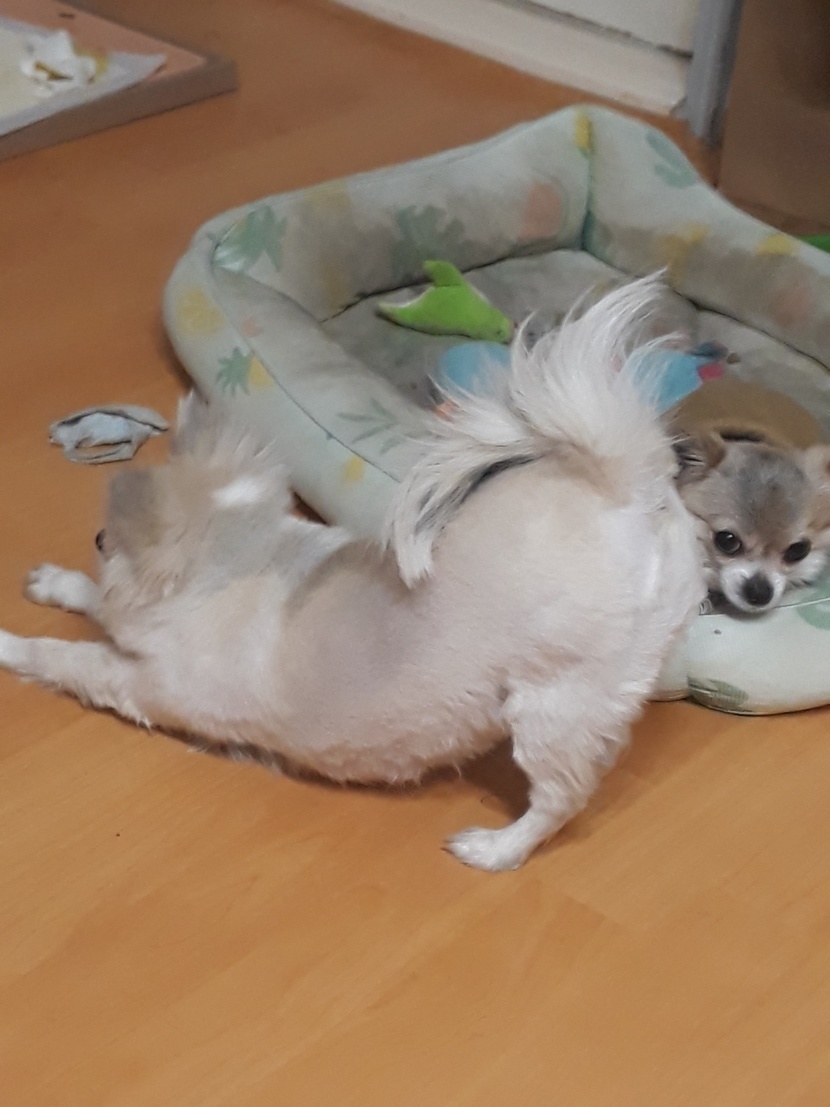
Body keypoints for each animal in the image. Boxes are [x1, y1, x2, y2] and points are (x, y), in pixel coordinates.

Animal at [0, 276, 704, 871]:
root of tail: (617, 480)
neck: (240, 559)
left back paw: (495, 849)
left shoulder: (140, 683)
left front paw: (11, 644)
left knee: (559, 798)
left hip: (554, 705)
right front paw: (55, 585)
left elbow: (65, 657)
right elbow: (95, 602)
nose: (95, 538)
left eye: (106, 540)